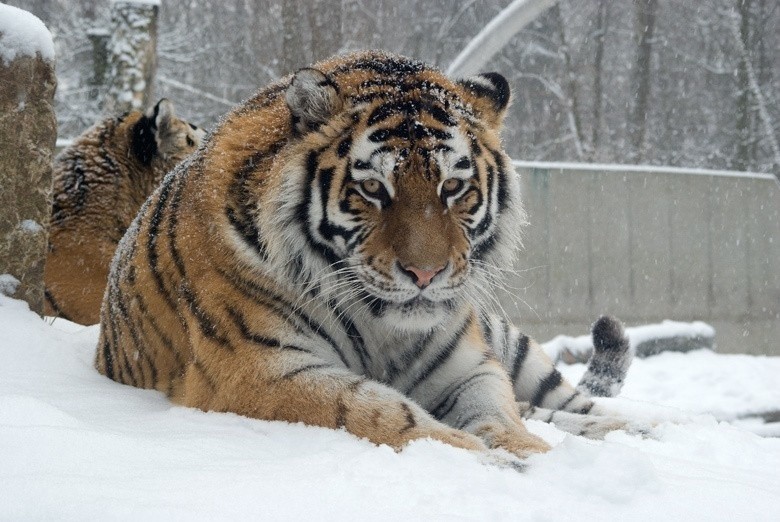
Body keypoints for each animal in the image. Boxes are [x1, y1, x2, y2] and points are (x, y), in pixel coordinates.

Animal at [94, 52, 636, 460]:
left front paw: (533, 456)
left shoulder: (469, 364)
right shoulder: (259, 370)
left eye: (453, 187)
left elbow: (498, 413)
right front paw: (481, 458)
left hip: (508, 340)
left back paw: (635, 429)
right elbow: (377, 410)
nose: (425, 273)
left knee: (566, 402)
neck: (383, 329)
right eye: (373, 188)